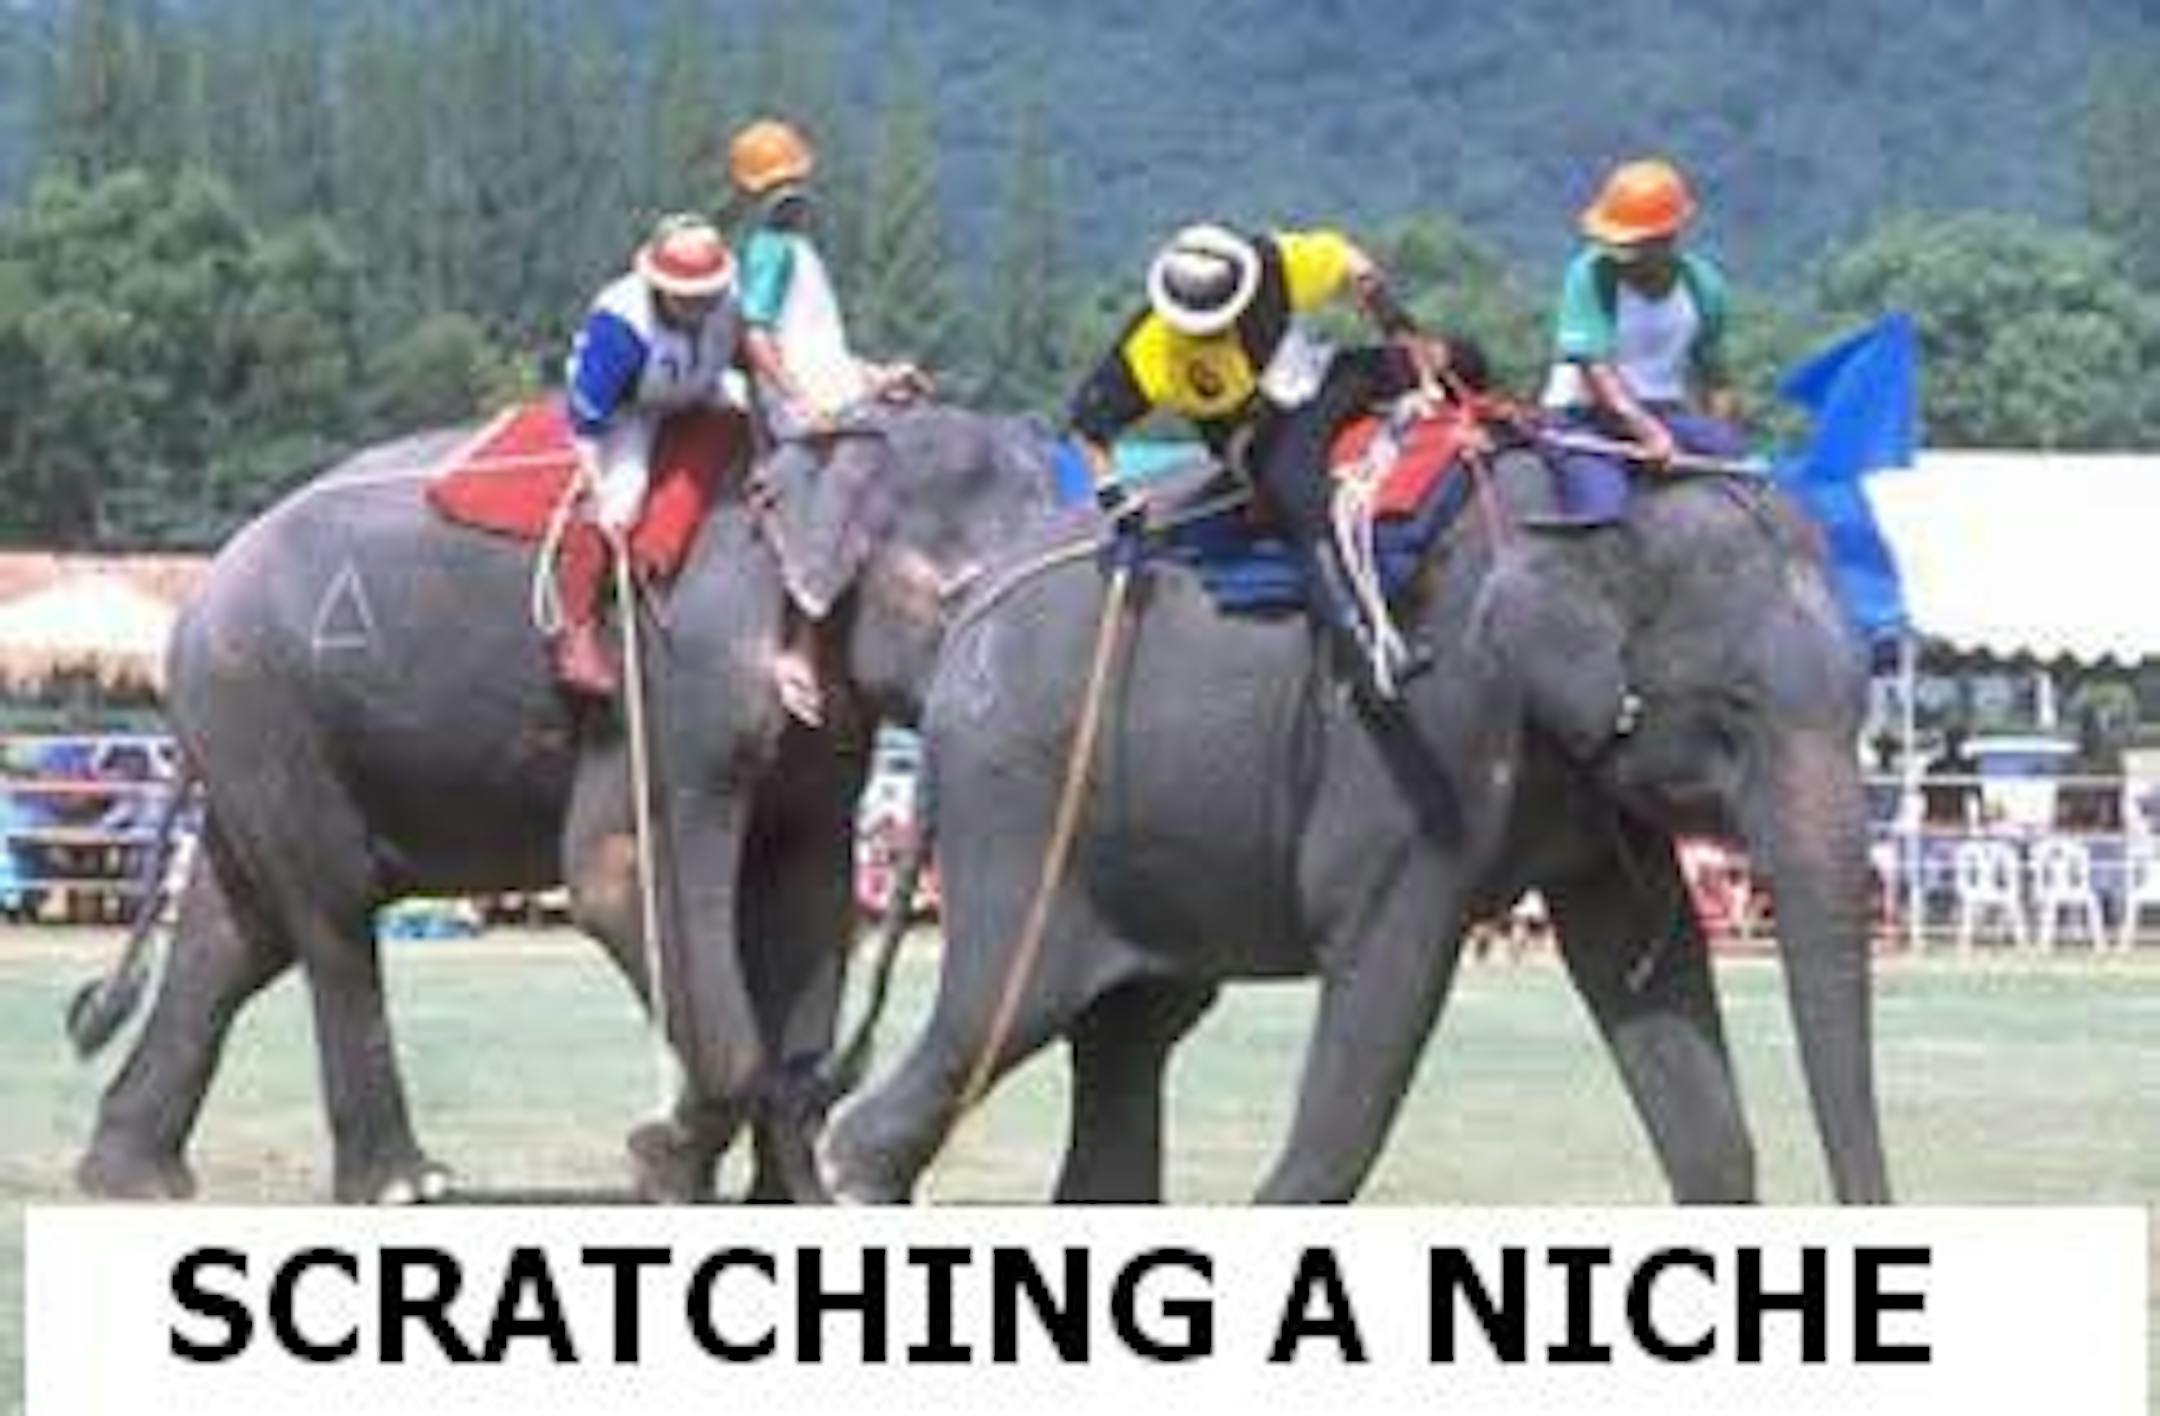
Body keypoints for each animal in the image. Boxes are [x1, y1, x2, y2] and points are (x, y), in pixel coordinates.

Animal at [67, 404, 1055, 1203]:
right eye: (960, 595)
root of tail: (199, 592)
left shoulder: (825, 737)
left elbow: (809, 902)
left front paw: (789, 1201)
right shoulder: (674, 676)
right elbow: (619, 874)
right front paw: (660, 1169)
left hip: (251, 734)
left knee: (236, 933)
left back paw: (132, 1183)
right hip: (265, 708)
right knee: (332, 911)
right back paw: (404, 1187)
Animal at [818, 445, 1889, 1205]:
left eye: (1865, 701)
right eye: (1738, 708)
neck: (1586, 504)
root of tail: (958, 628)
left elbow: (1646, 972)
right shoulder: (1419, 731)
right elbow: (1387, 959)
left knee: (1131, 1037)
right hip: (1023, 812)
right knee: (993, 1021)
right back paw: (851, 1168)